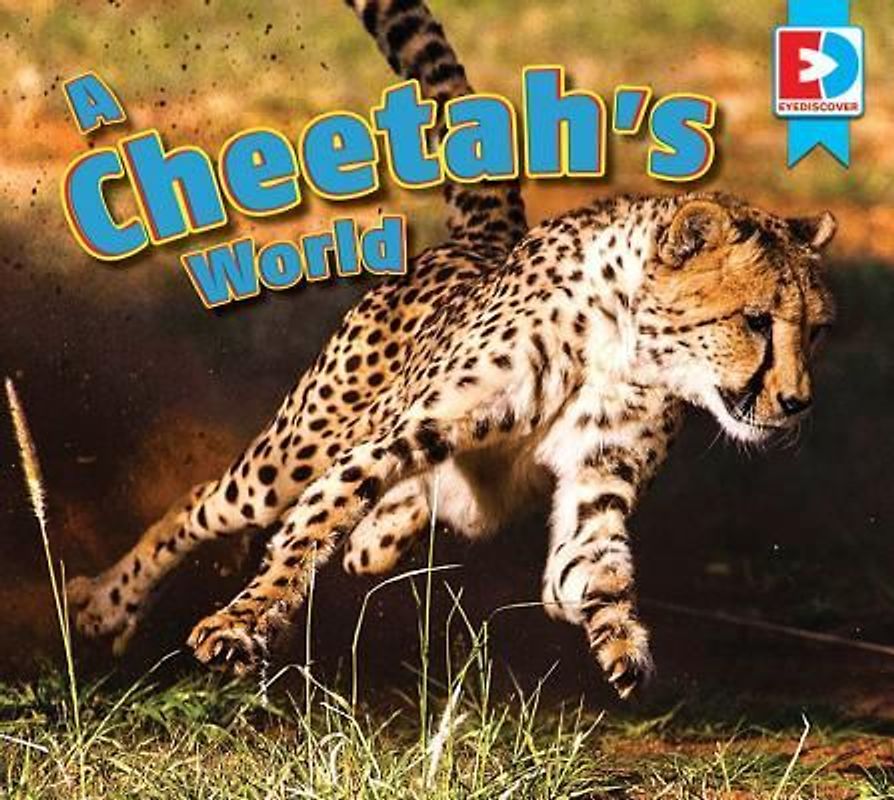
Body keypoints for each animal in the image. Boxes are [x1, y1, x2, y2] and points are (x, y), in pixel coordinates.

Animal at [67, 0, 837, 699]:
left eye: (817, 329)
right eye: (757, 321)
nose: (798, 402)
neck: (622, 344)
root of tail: (480, 240)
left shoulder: (598, 480)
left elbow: (592, 564)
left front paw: (619, 640)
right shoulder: (408, 429)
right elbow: (319, 519)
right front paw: (244, 620)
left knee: (384, 536)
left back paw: (387, 529)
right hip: (293, 451)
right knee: (209, 502)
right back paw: (105, 603)